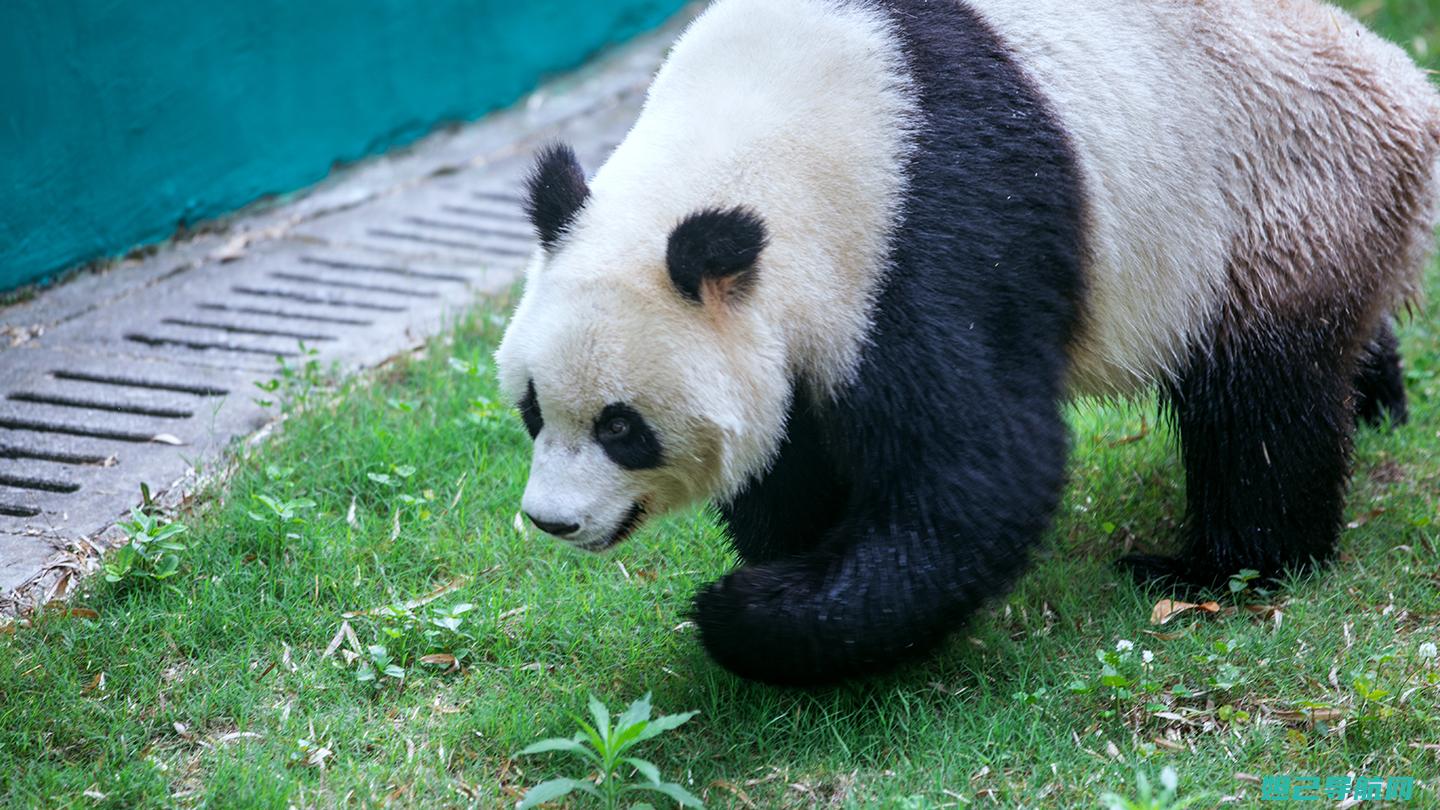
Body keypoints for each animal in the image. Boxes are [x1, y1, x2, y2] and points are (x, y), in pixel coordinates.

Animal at [495, 0, 1440, 680]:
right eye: (533, 410)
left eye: (622, 427)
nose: (550, 520)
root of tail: (1405, 85)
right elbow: (793, 451)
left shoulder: (930, 223)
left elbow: (977, 473)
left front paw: (747, 611)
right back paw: (1376, 396)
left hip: (1277, 197)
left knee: (1259, 408)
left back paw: (1217, 569)